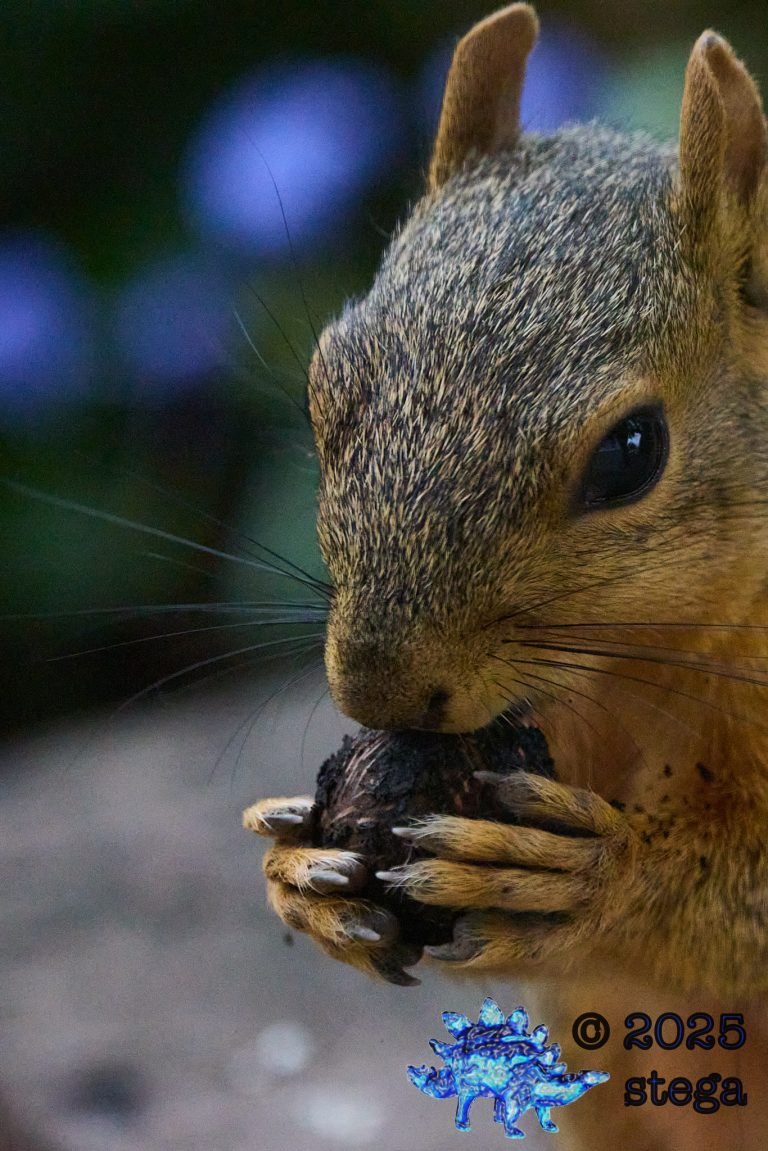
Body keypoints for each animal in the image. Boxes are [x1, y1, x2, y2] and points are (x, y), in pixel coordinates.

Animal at [245, 6, 768, 1148]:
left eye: (631, 451)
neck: (637, 670)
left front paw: (595, 875)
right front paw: (296, 873)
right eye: (322, 386)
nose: (379, 689)